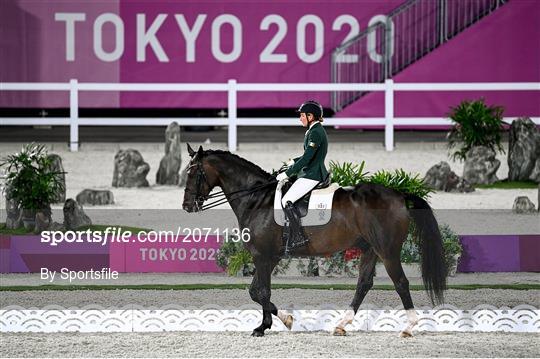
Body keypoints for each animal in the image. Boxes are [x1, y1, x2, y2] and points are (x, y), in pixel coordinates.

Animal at [182, 145, 448, 338]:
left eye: (193, 173)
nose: (187, 206)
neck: (257, 198)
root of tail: (400, 195)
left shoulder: (262, 255)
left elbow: (262, 291)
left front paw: (266, 326)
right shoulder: (269, 256)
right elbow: (255, 291)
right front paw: (283, 320)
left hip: (388, 250)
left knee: (401, 283)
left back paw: (409, 327)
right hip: (370, 249)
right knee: (363, 284)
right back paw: (341, 325)